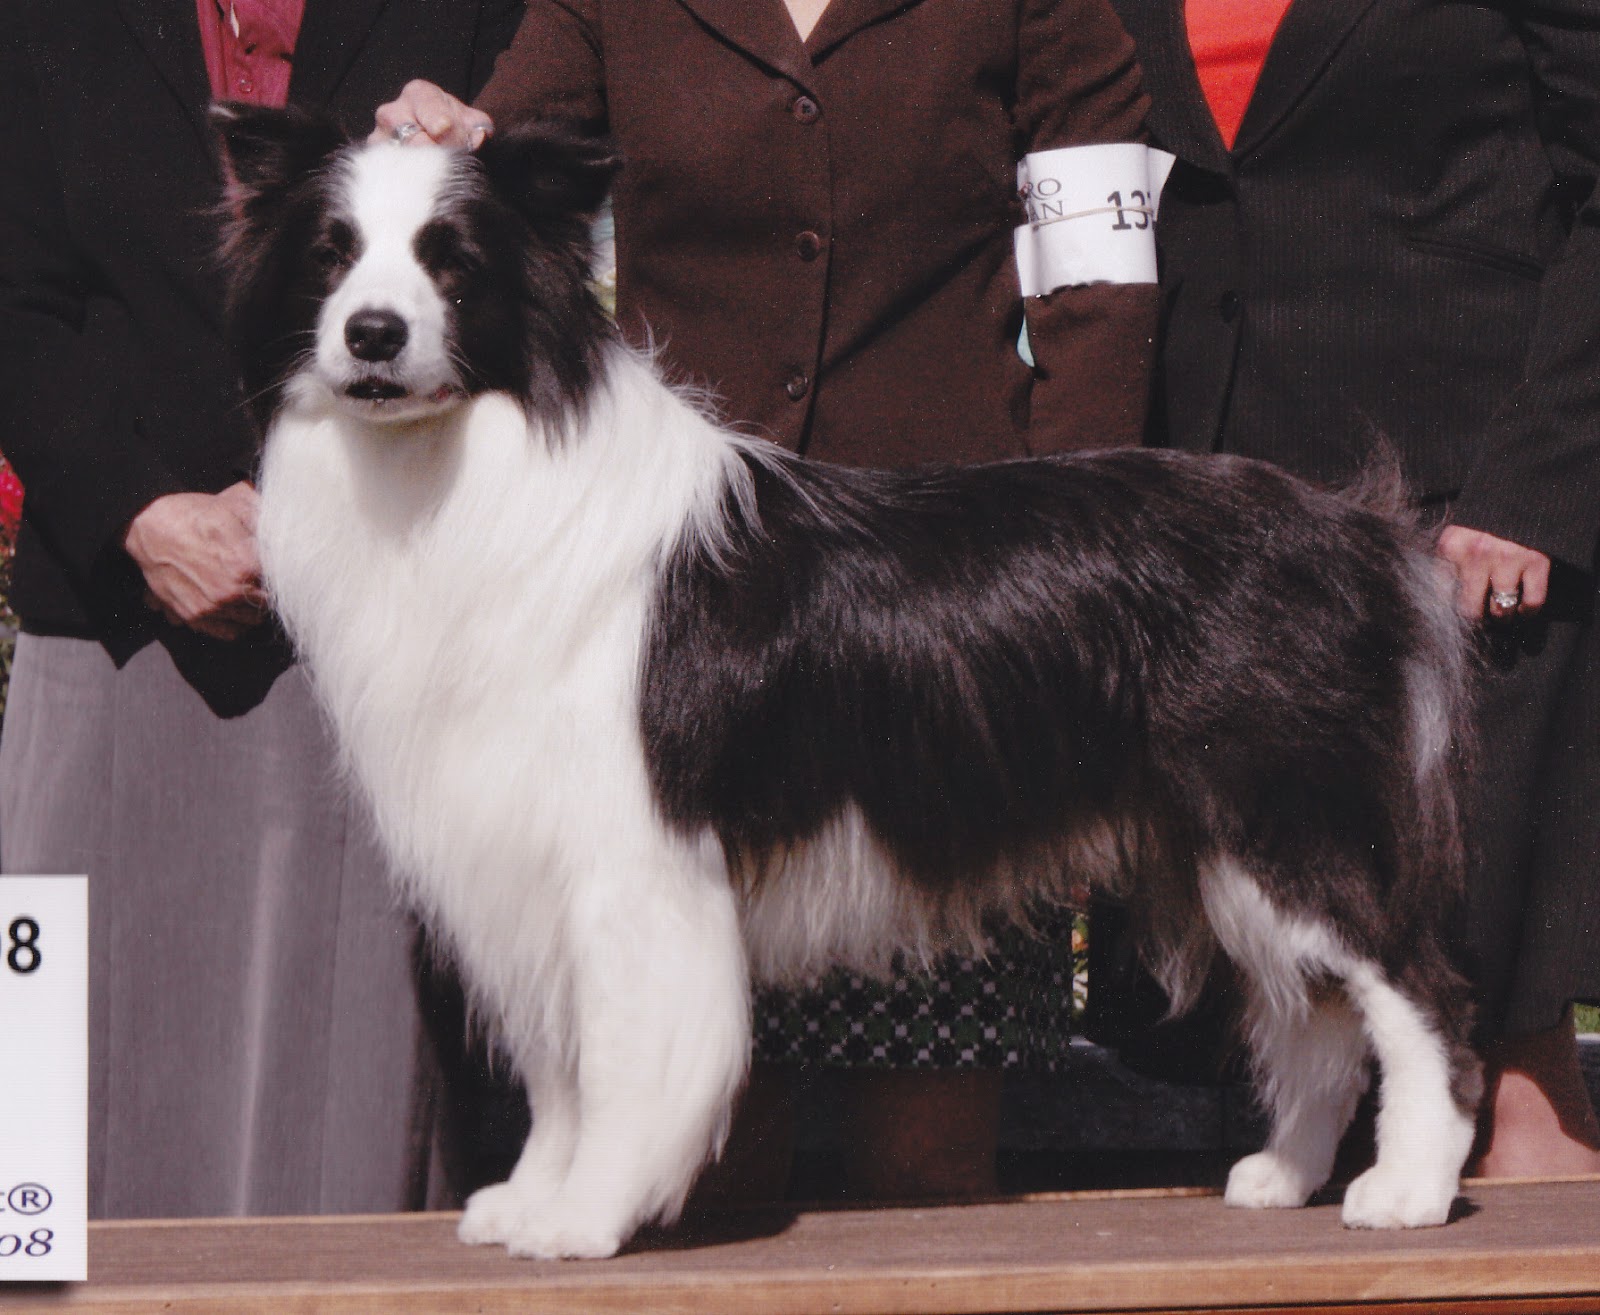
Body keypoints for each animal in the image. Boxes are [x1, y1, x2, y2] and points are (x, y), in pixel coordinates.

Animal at [216, 107, 1484, 1260]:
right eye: (328, 253)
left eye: (452, 258)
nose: (372, 333)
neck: (466, 456)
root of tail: (1352, 528)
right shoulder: (527, 851)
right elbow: (561, 1059)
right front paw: (533, 1200)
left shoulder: (634, 856)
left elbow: (623, 1051)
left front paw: (585, 1217)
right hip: (1231, 838)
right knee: (1320, 1012)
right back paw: (1286, 1174)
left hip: (1298, 808)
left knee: (1417, 989)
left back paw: (1408, 1189)